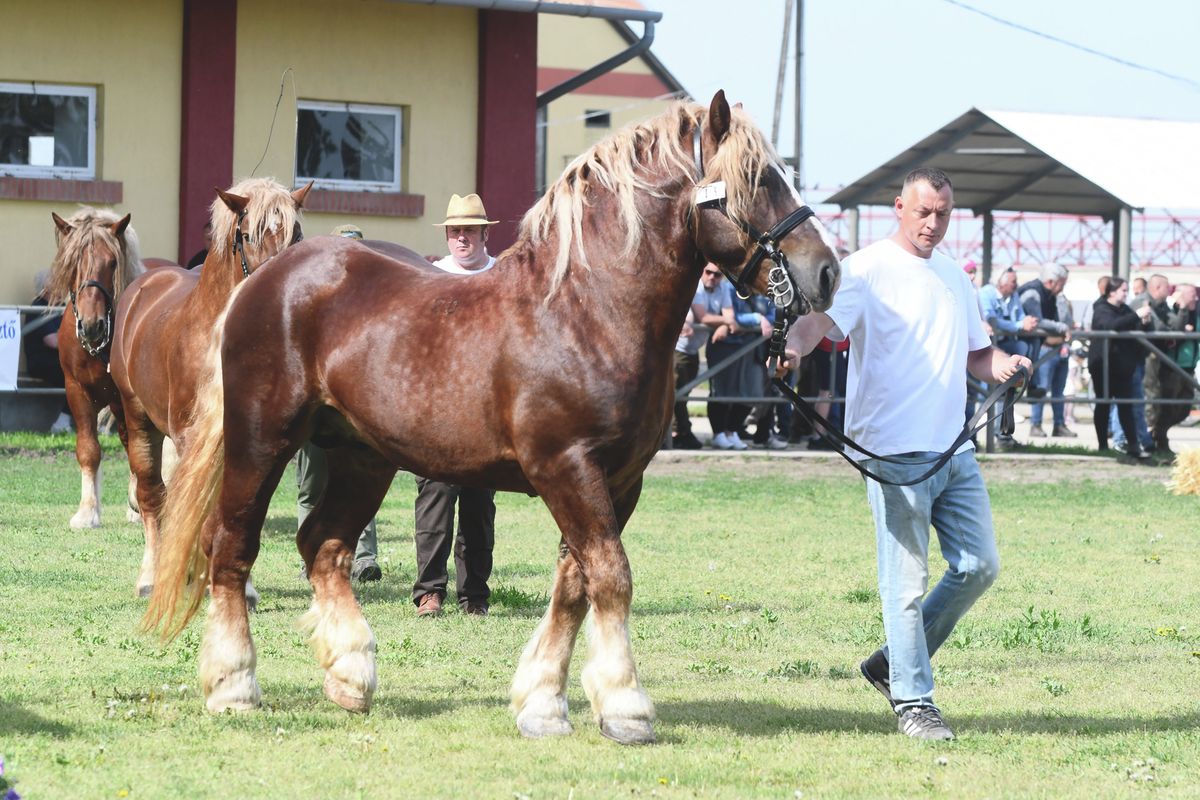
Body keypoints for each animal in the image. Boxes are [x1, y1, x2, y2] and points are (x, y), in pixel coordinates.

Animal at [44, 209, 145, 527]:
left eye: (112, 263)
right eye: (73, 264)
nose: (91, 325)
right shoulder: (76, 391)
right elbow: (89, 450)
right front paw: (88, 511)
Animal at [112, 178, 309, 597]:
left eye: (297, 233)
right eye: (248, 235)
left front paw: (242, 586)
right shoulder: (189, 436)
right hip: (139, 420)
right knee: (152, 496)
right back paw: (152, 576)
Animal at [150, 94, 840, 743]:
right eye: (757, 178)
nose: (826, 272)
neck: (588, 311)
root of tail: (264, 281)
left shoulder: (618, 481)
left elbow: (575, 583)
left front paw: (542, 704)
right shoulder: (567, 468)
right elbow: (610, 577)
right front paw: (625, 708)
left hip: (361, 456)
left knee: (323, 544)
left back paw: (350, 676)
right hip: (260, 443)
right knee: (231, 547)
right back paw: (234, 685)